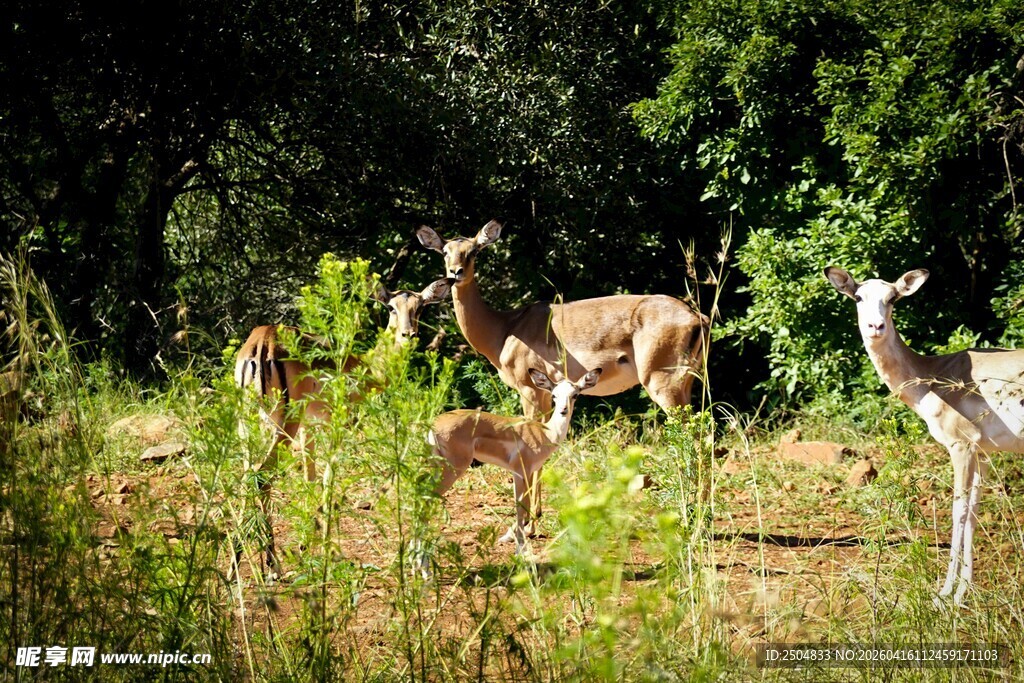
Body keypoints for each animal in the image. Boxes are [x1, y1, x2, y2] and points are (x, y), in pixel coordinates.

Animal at [234, 277, 451, 577]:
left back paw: (237, 563)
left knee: (247, 474)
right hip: (282, 424)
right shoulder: (341, 425)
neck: (367, 367)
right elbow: (330, 479)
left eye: (419, 307)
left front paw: (305, 547)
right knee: (261, 475)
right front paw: (330, 553)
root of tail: (261, 343)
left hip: (250, 423)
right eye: (391, 307)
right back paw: (273, 565)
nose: (409, 335)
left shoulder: (310, 426)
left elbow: (310, 477)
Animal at [417, 219, 708, 539]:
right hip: (686, 387)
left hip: (663, 387)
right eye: (445, 251)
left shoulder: (529, 391)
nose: (454, 273)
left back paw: (692, 518)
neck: (505, 328)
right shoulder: (546, 394)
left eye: (473, 251)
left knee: (692, 438)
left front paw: (525, 527)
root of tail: (696, 317)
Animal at [427, 367, 601, 561]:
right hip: (453, 468)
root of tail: (433, 425)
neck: (545, 434)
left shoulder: (529, 473)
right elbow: (520, 508)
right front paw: (521, 552)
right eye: (554, 395)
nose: (563, 410)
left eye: (575, 395)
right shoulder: (518, 472)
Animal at [825, 266, 1024, 606]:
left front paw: (944, 595)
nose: (875, 326)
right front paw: (963, 592)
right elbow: (973, 512)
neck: (931, 377)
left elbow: (958, 511)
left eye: (893, 297)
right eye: (859, 296)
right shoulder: (982, 452)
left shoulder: (960, 445)